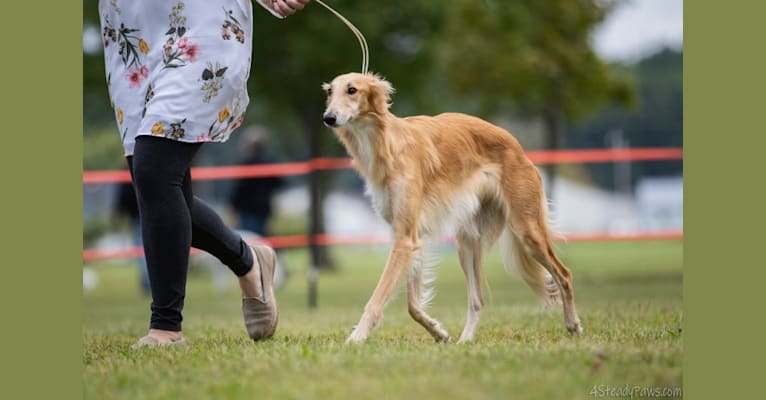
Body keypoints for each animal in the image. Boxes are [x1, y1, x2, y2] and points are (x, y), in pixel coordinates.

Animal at [322, 72, 584, 344]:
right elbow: (413, 305)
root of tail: (517, 146)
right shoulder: (409, 235)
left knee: (564, 274)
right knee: (477, 301)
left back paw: (573, 324)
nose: (328, 117)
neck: (387, 143)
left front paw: (356, 338)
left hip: (527, 230)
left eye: (352, 89)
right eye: (330, 91)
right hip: (467, 241)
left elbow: (378, 298)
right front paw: (438, 331)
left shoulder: (406, 239)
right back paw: (464, 341)